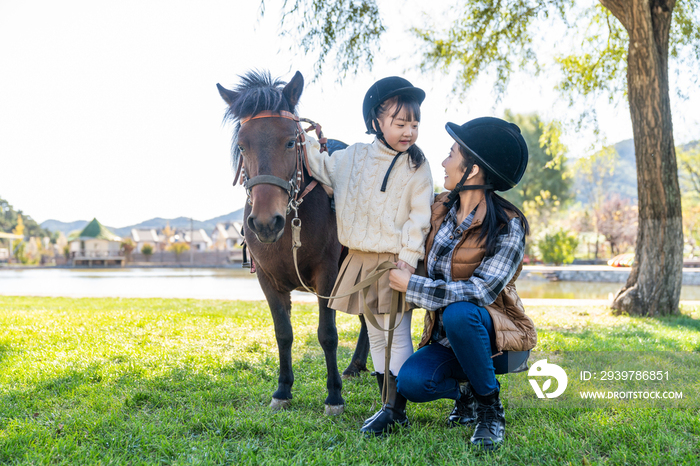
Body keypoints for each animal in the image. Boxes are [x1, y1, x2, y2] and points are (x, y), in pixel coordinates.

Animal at [217, 70, 372, 416]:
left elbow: (327, 335)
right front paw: (283, 389)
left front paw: (334, 396)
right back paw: (356, 366)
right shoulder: (267, 279)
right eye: (242, 146)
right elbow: (283, 334)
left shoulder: (327, 275)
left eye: (290, 141)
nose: (265, 222)